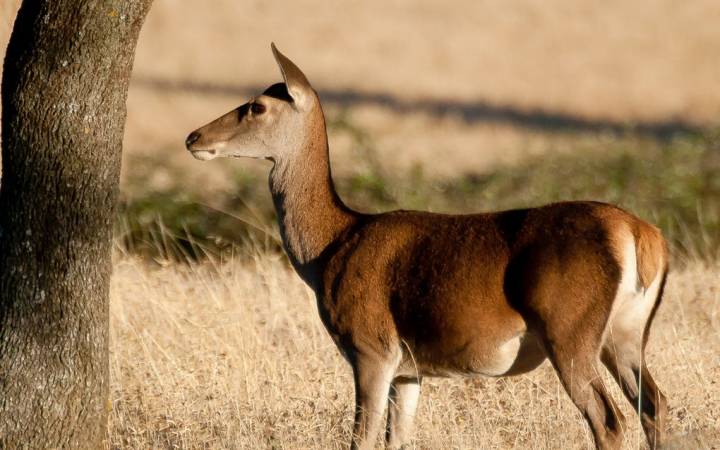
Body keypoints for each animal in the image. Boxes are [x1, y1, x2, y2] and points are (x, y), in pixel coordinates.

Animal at [184, 43, 668, 450]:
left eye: (257, 106)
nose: (193, 137)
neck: (329, 247)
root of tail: (641, 235)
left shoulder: (371, 346)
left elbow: (361, 439)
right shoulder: (410, 371)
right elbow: (396, 439)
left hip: (568, 326)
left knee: (608, 419)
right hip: (626, 330)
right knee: (654, 404)